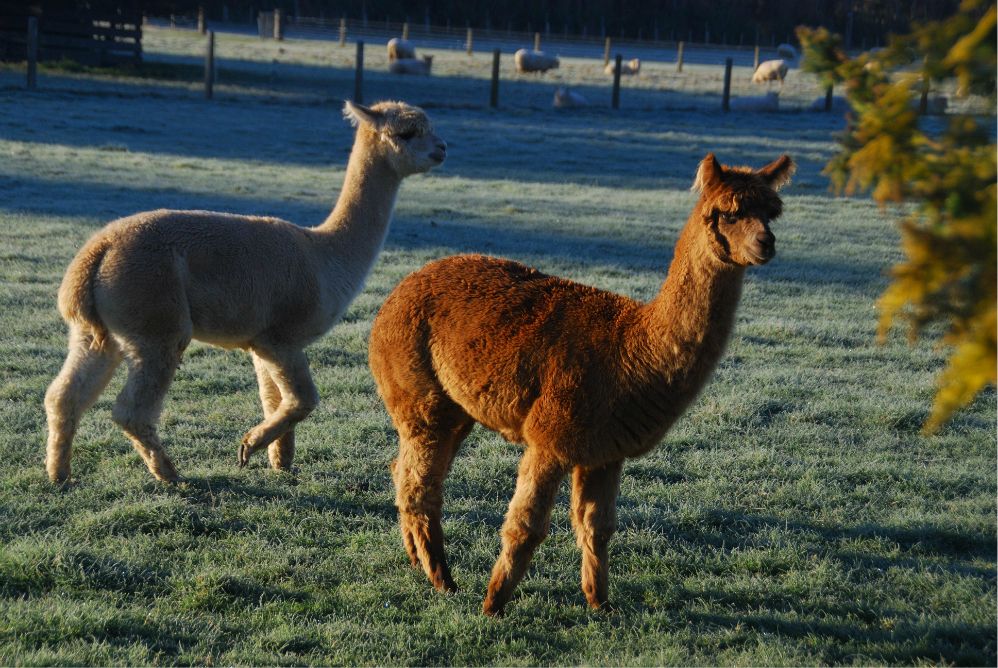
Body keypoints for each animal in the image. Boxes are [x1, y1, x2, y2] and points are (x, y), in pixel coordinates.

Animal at [47, 99, 446, 482]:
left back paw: (60, 475)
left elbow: (274, 399)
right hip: (155, 319)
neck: (324, 254)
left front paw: (280, 461)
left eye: (430, 127)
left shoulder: (260, 343)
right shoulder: (280, 337)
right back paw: (170, 474)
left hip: (98, 332)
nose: (442, 149)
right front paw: (251, 446)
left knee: (63, 397)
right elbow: (303, 400)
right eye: (408, 132)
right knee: (130, 410)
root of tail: (95, 254)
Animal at [368, 151, 796, 616]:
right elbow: (525, 527)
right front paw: (493, 605)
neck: (631, 348)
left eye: (771, 212)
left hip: (455, 408)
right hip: (419, 393)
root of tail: (400, 288)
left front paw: (600, 603)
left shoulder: (605, 451)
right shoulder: (551, 437)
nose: (766, 244)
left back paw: (417, 560)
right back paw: (444, 581)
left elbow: (598, 527)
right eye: (727, 213)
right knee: (421, 487)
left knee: (404, 471)